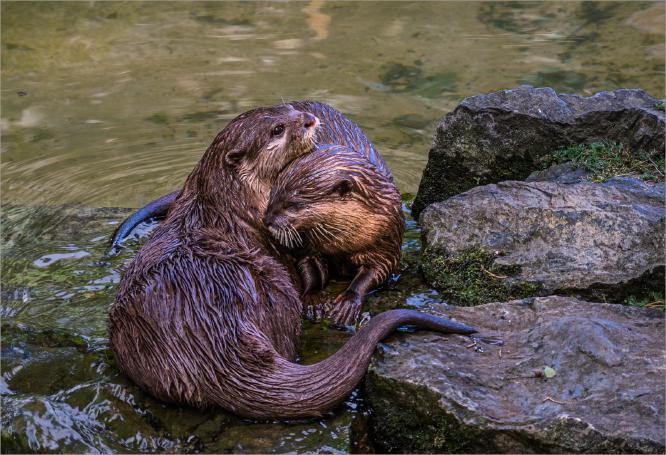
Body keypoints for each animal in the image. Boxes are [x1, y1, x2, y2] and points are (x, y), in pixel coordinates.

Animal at [264, 144, 404, 326]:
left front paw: (348, 302)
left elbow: (376, 270)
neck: (342, 244)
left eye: (293, 204)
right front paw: (314, 301)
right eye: (272, 194)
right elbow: (308, 264)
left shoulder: (387, 240)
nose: (267, 220)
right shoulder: (308, 246)